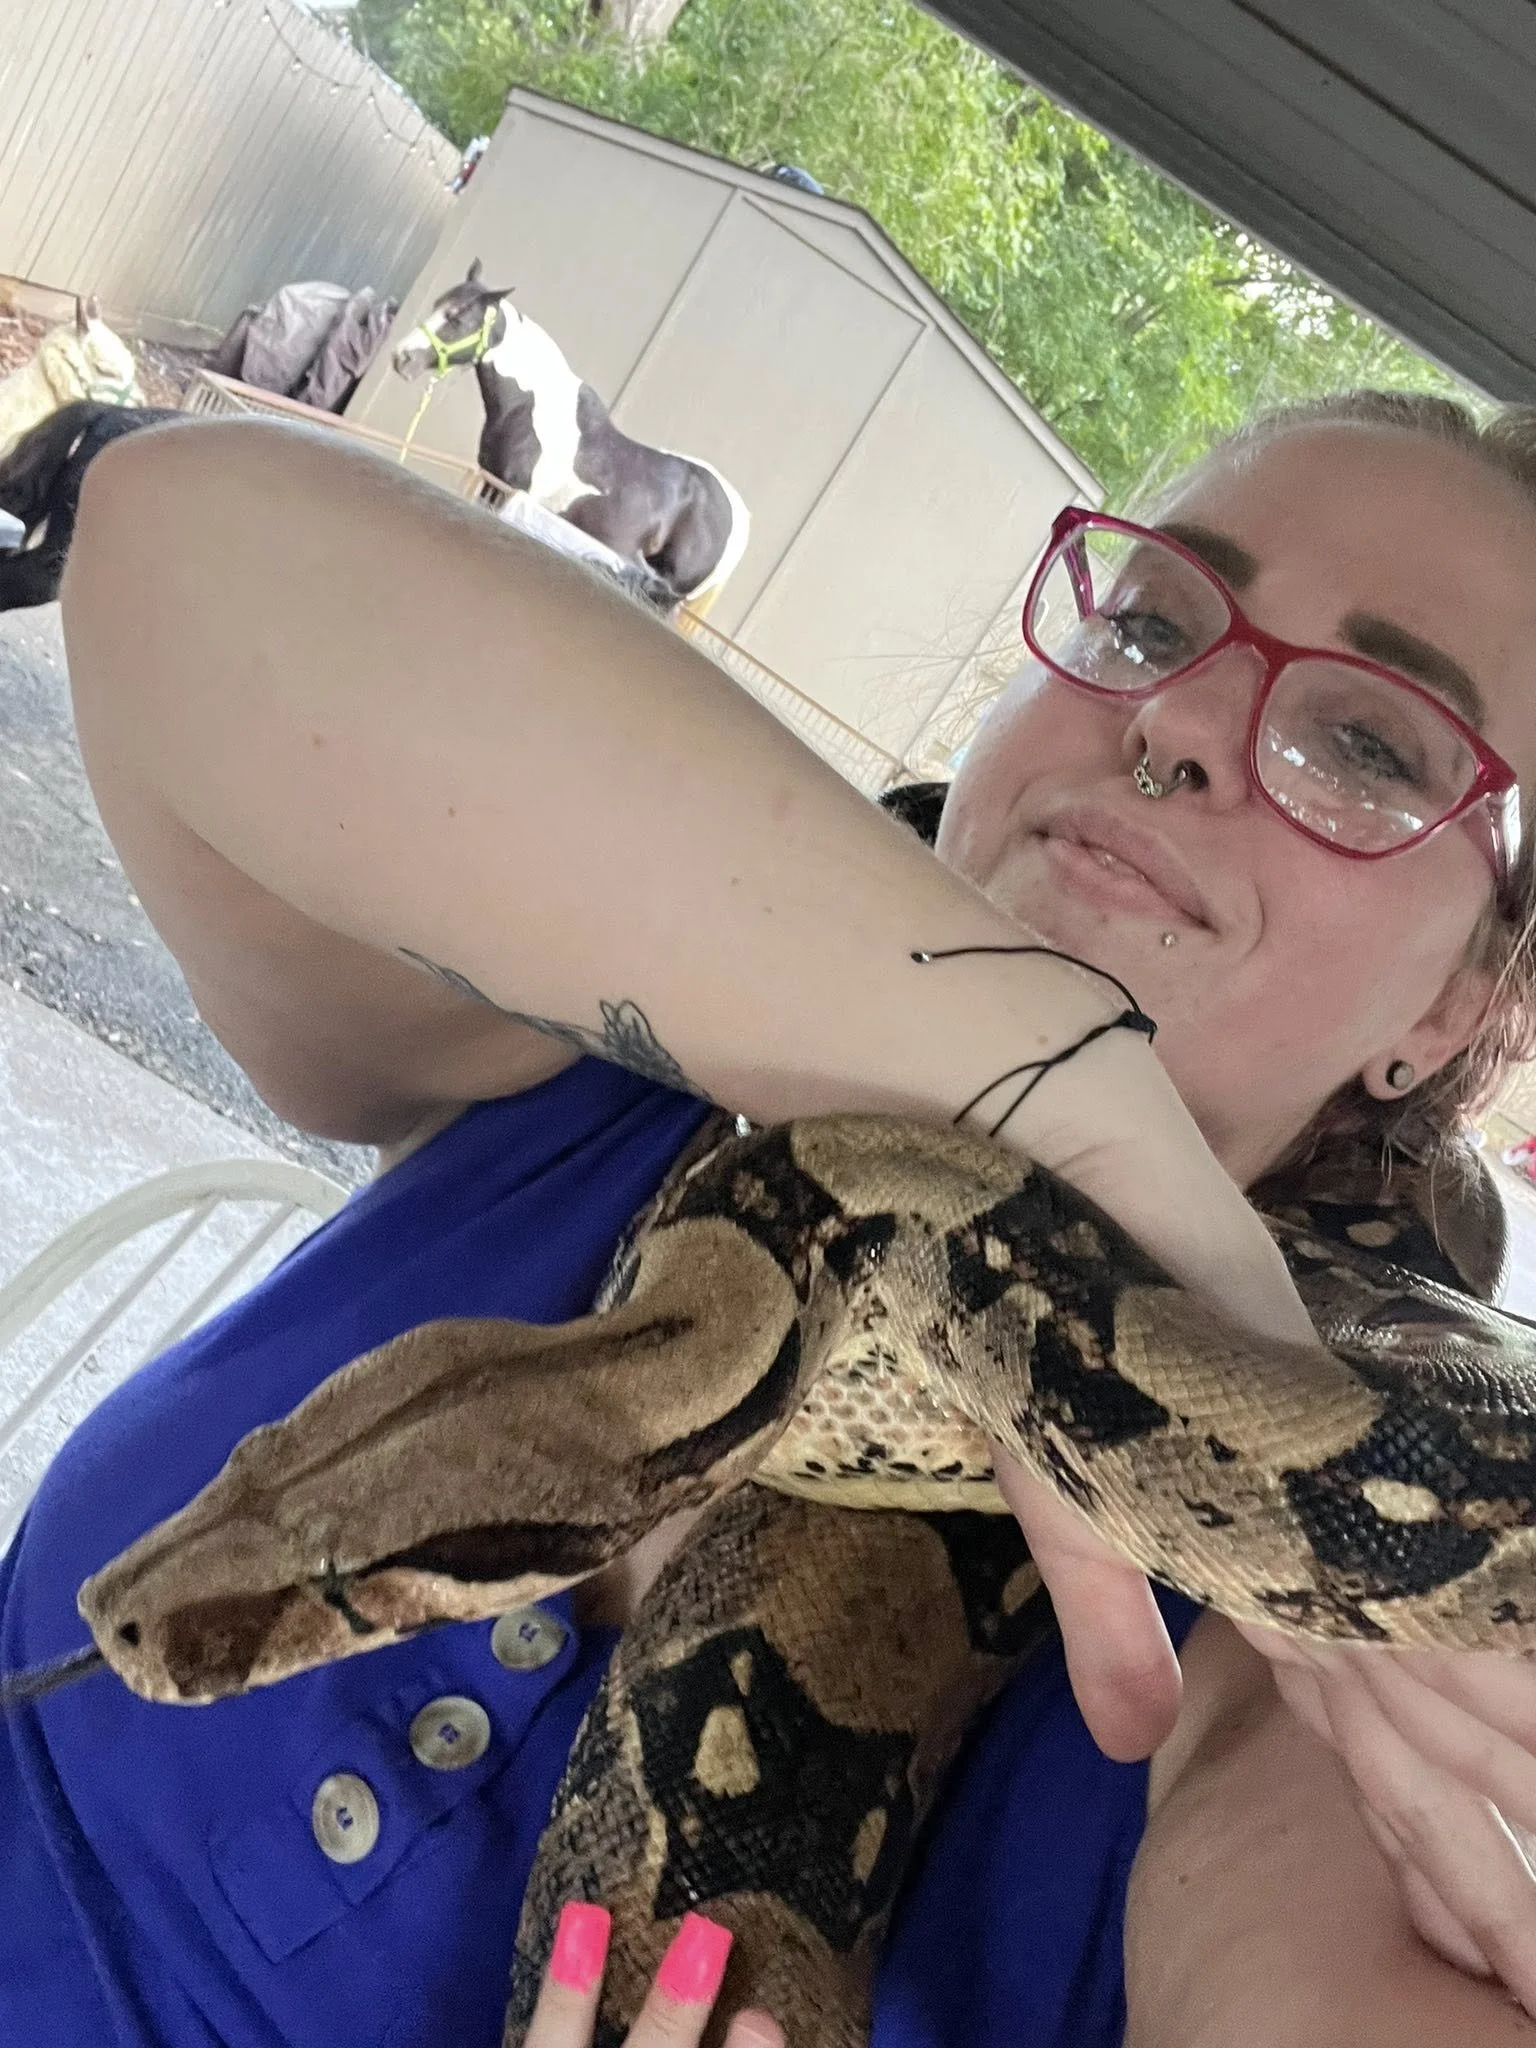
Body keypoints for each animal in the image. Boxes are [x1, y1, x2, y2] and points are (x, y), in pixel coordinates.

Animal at [392, 260, 750, 608]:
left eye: (457, 316)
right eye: (438, 304)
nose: (401, 357)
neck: (531, 407)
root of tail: (740, 515)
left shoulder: (514, 492)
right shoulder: (489, 480)